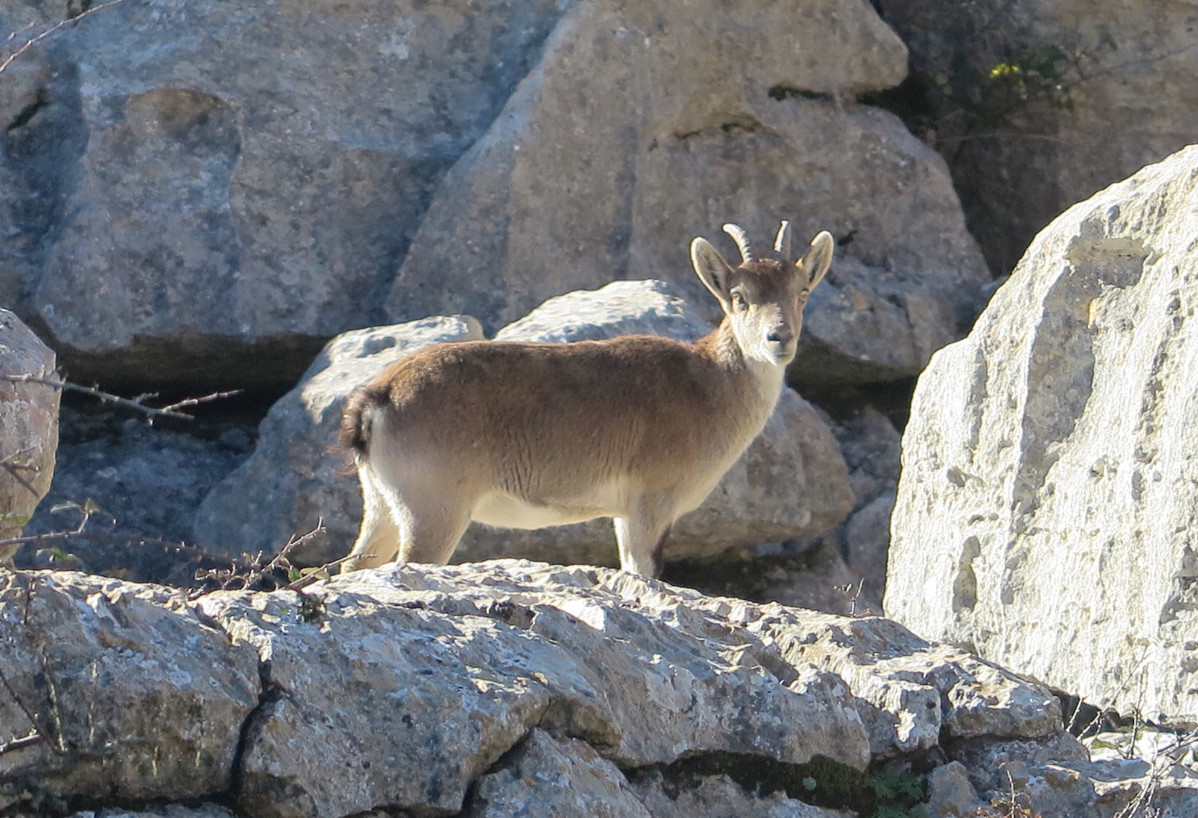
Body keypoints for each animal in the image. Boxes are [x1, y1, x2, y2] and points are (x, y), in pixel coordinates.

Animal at [340, 219, 833, 574]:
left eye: (801, 291)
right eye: (738, 296)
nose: (778, 339)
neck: (708, 383)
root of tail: (377, 399)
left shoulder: (623, 512)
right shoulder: (650, 502)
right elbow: (641, 573)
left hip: (383, 505)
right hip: (434, 509)